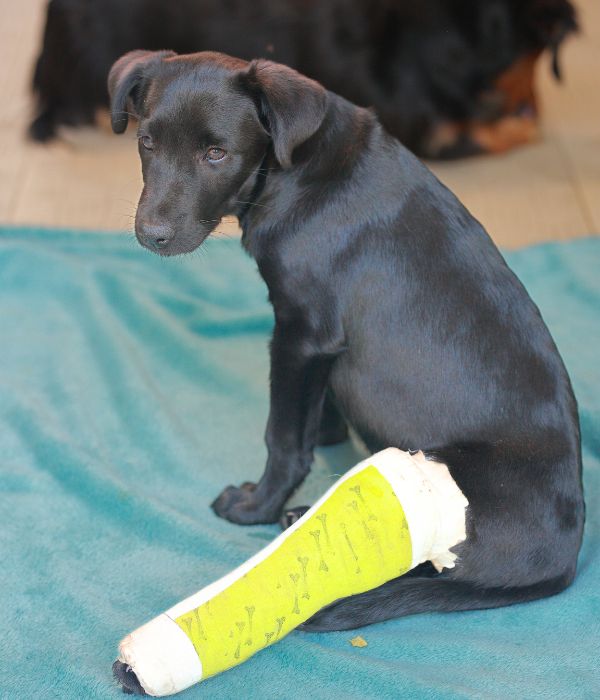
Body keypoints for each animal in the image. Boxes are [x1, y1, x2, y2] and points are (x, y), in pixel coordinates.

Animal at [106, 50, 580, 644]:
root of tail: (568, 560)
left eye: (217, 154)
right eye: (147, 142)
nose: (151, 235)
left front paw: (255, 505)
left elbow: (283, 437)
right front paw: (328, 434)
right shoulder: (319, 346)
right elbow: (317, 408)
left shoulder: (301, 332)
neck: (296, 171)